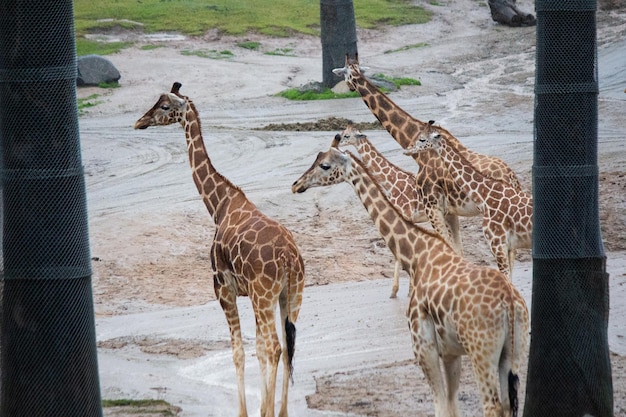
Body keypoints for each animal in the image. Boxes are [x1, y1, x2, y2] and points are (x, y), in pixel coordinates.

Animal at [134, 82, 304, 416]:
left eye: (164, 107)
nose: (139, 122)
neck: (219, 205)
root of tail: (289, 258)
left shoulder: (222, 287)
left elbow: (239, 350)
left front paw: (246, 412)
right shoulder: (248, 293)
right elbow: (255, 349)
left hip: (264, 296)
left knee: (274, 346)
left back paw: (269, 411)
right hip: (291, 295)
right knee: (287, 346)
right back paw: (280, 411)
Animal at [292, 147, 528, 416]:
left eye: (325, 166)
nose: (296, 185)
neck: (416, 254)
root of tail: (509, 304)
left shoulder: (423, 346)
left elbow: (440, 405)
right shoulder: (450, 352)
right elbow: (451, 405)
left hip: (481, 352)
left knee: (492, 406)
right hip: (513, 352)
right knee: (509, 404)